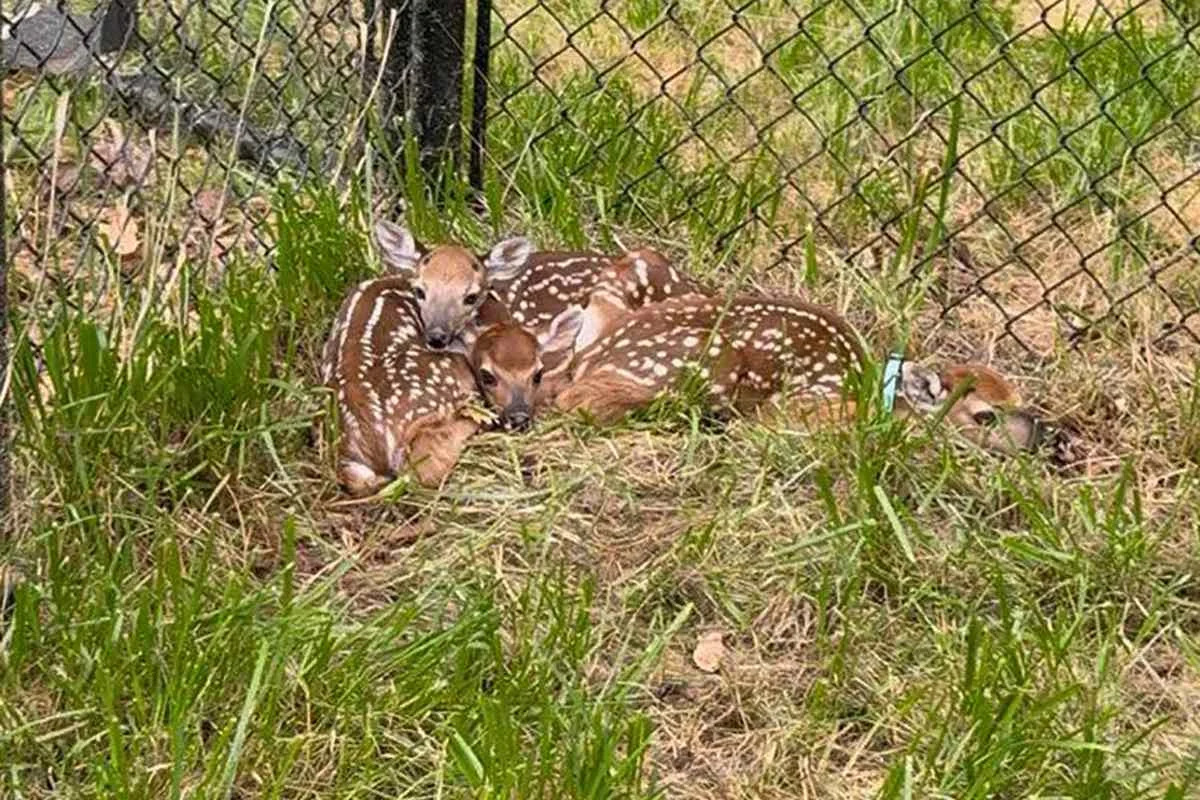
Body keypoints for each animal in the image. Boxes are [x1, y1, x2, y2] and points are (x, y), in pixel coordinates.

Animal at [553, 259, 1046, 455]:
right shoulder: (797, 411)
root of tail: (598, 352)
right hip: (709, 363)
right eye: (984, 416)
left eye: (1020, 398)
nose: (1041, 436)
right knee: (579, 401)